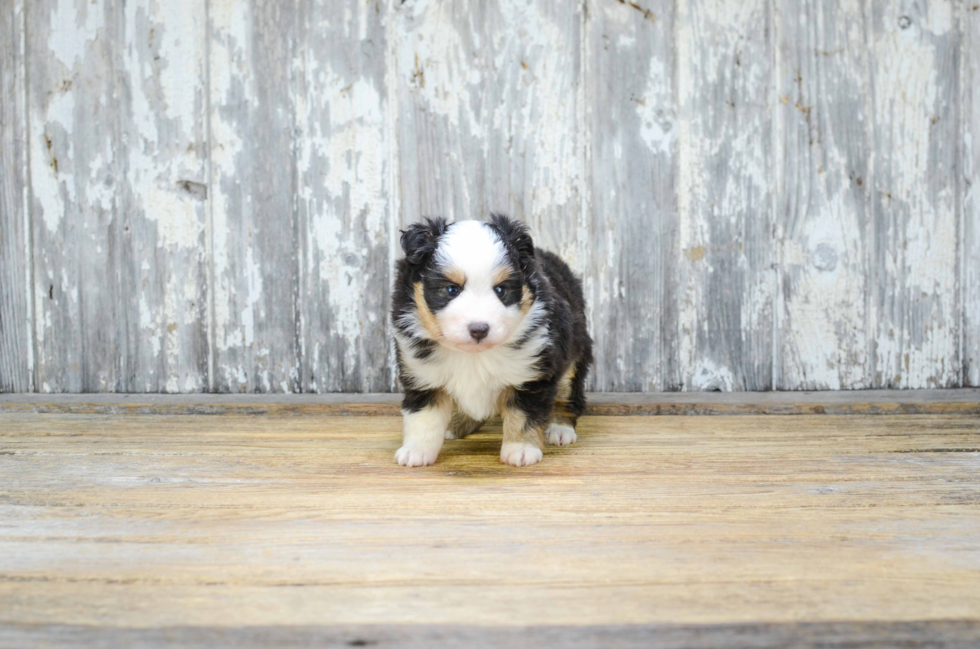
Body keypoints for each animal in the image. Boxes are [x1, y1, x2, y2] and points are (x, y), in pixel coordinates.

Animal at [388, 214, 588, 466]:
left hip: (573, 356)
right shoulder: (423, 375)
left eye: (501, 290)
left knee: (566, 395)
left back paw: (560, 429)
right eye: (451, 290)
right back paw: (456, 424)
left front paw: (521, 449)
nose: (479, 329)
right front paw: (416, 450)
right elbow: (424, 417)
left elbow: (523, 415)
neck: (474, 356)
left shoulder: (532, 373)